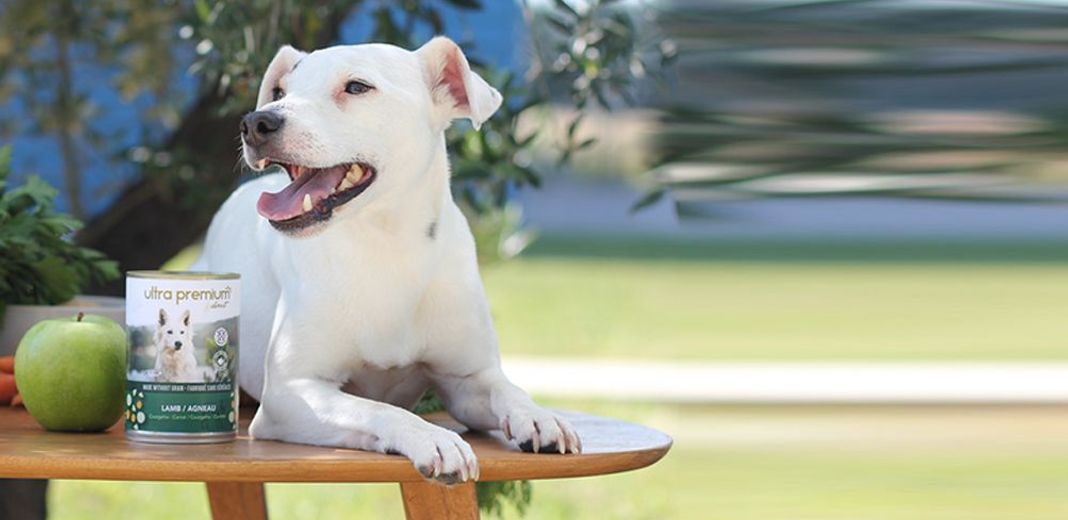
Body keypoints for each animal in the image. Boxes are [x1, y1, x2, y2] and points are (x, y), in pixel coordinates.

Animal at [196, 36, 580, 484]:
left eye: (357, 87)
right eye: (280, 92)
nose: (257, 122)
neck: (387, 245)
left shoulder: (467, 380)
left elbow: (508, 389)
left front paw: (538, 416)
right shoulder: (291, 393)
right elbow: (375, 408)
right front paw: (432, 437)